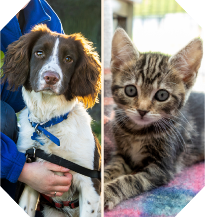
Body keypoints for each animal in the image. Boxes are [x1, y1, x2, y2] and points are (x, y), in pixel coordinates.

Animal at [2, 24, 102, 216]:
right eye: (39, 53)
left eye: (69, 59)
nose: (51, 77)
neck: (48, 124)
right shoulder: (30, 183)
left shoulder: (90, 183)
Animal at [105, 28, 205, 209]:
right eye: (131, 90)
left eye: (162, 95)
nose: (142, 110)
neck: (138, 132)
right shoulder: (122, 154)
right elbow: (112, 168)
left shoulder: (162, 168)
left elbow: (131, 180)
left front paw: (108, 191)